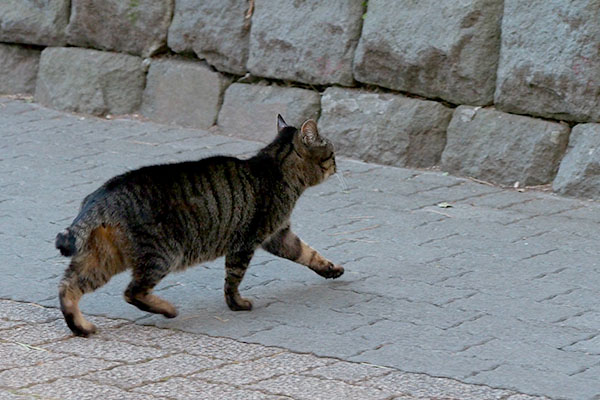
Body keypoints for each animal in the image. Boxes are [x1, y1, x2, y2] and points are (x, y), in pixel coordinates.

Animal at [56, 115, 346, 338]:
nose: (337, 165)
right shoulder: (248, 242)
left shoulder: (278, 235)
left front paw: (332, 269)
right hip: (162, 255)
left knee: (68, 287)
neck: (275, 168)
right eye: (331, 153)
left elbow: (308, 253)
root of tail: (101, 195)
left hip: (102, 259)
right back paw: (168, 309)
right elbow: (233, 279)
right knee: (132, 292)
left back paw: (81, 327)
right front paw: (237, 304)